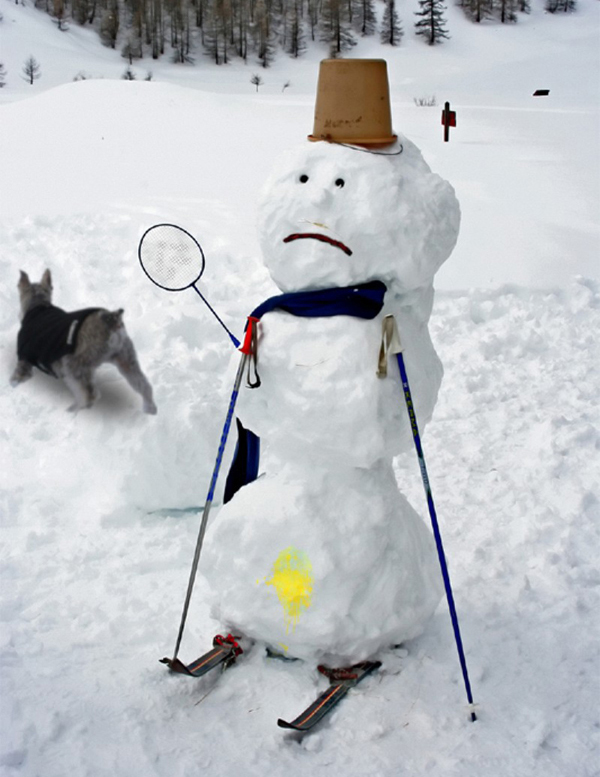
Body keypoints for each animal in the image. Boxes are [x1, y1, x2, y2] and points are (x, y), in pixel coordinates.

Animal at [12, 266, 157, 412]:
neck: (38, 305)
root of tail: (111, 319)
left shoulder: (24, 360)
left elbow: (16, 378)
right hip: (126, 359)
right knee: (144, 386)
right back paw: (149, 409)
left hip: (74, 364)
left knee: (89, 395)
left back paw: (72, 410)